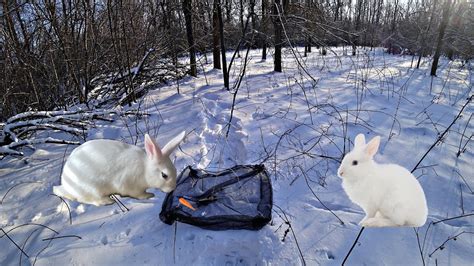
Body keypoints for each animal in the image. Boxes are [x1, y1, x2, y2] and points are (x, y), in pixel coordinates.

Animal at [52, 131, 184, 206]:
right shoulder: (129, 185)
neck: (145, 169)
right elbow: (138, 194)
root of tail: (66, 186)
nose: (172, 188)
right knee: (87, 199)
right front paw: (149, 195)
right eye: (164, 175)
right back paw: (108, 201)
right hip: (91, 189)